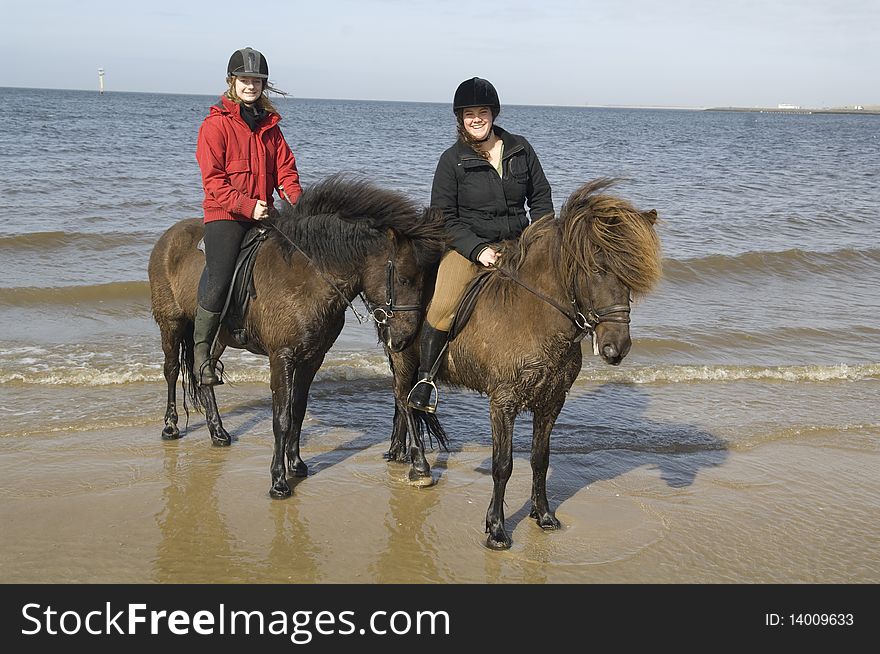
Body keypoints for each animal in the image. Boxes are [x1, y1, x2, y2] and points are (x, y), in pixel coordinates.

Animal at [150, 177, 446, 500]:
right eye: (404, 278)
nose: (405, 338)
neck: (308, 276)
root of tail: (167, 238)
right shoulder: (282, 357)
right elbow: (281, 418)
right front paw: (278, 481)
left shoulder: (312, 357)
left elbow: (298, 411)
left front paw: (296, 463)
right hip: (171, 323)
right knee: (172, 371)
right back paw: (170, 427)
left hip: (217, 338)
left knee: (202, 374)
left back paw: (218, 432)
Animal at [384, 178, 660, 548]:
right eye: (596, 269)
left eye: (629, 274)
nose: (616, 347)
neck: (534, 315)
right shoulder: (503, 403)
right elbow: (503, 465)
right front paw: (497, 529)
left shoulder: (551, 401)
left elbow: (540, 459)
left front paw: (543, 515)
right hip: (403, 356)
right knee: (405, 400)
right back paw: (418, 467)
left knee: (406, 406)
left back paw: (400, 454)